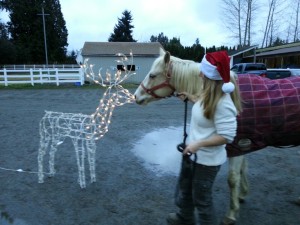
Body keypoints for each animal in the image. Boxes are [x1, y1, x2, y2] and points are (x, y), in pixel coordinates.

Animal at [134, 51, 300, 225]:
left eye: (152, 75)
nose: (136, 96)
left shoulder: (239, 145)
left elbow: (233, 179)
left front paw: (231, 214)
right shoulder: (244, 144)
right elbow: (243, 170)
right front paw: (242, 195)